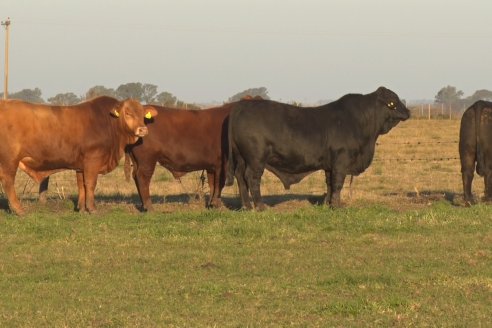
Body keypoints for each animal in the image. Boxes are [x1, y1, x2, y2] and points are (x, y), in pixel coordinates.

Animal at [0, 95, 157, 215]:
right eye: (128, 113)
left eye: (143, 115)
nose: (143, 129)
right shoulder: (93, 160)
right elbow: (90, 184)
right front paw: (92, 209)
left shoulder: (81, 165)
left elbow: (81, 185)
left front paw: (81, 208)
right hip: (9, 160)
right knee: (8, 182)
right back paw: (19, 210)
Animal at [225, 86, 410, 210]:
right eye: (392, 102)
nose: (408, 112)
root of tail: (241, 107)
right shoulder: (341, 162)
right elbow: (338, 184)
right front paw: (337, 206)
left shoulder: (329, 165)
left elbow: (329, 184)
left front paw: (327, 203)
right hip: (256, 159)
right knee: (252, 178)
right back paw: (260, 206)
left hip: (241, 159)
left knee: (241, 178)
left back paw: (247, 206)